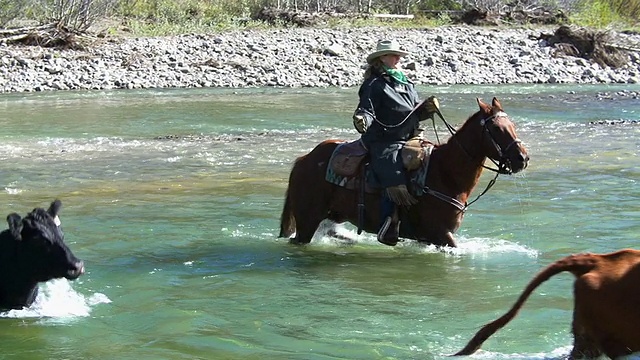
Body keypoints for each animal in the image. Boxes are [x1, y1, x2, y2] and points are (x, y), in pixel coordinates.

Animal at [278, 98, 528, 248]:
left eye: (512, 125)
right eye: (496, 128)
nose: (522, 158)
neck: (445, 172)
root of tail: (304, 160)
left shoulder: (429, 238)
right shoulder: (440, 233)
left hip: (331, 216)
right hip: (307, 221)